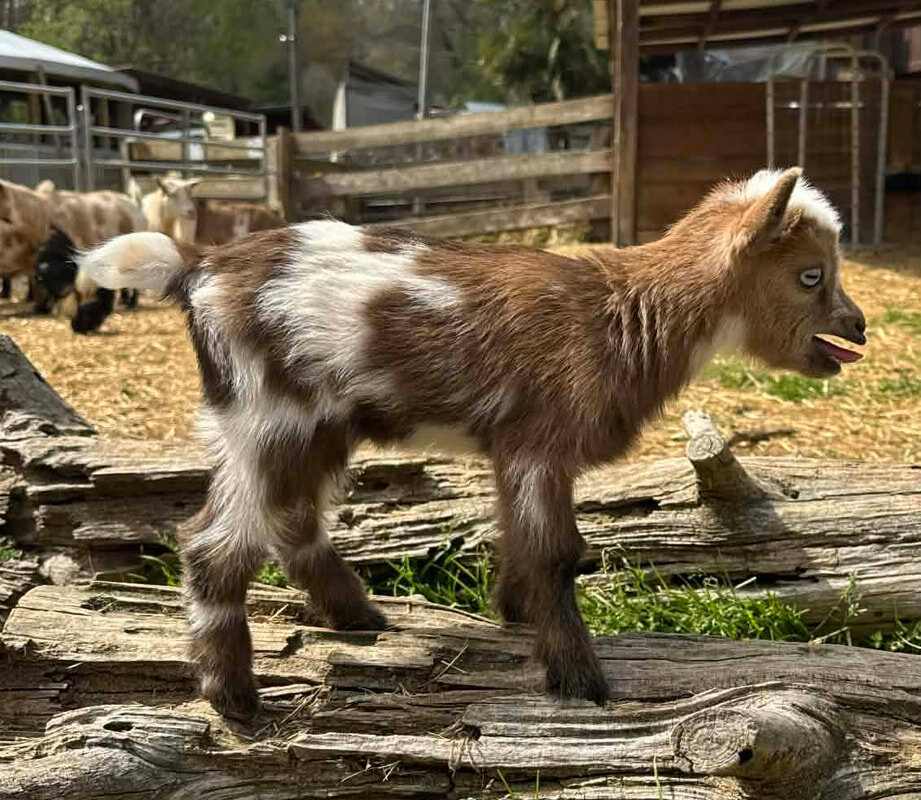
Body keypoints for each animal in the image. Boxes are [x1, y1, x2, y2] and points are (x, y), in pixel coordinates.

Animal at [80, 168, 866, 719]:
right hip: (268, 415)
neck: (624, 313)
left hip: (303, 424)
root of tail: (195, 271)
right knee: (214, 544)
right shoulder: (539, 442)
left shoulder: (517, 449)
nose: (857, 327)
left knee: (292, 519)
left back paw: (356, 617)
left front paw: (513, 613)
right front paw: (579, 680)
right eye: (809, 276)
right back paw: (234, 697)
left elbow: (517, 538)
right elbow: (558, 553)